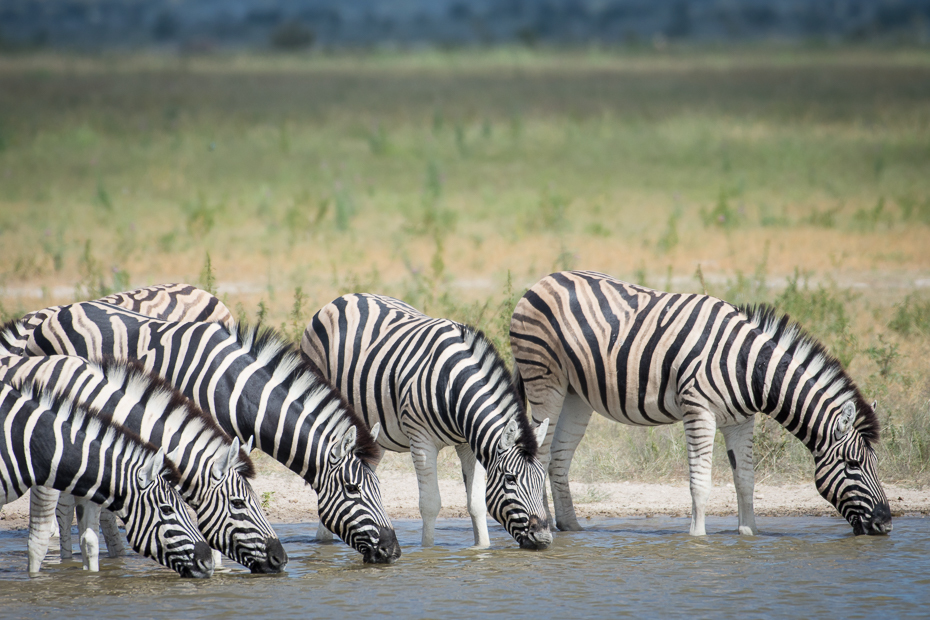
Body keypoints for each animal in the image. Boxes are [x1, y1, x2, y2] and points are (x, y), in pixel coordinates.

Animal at [302, 294, 552, 548]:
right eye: (511, 479)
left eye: (542, 478)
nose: (543, 538)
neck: (453, 387)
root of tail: (346, 297)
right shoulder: (422, 441)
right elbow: (431, 504)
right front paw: (428, 550)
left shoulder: (468, 444)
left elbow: (476, 503)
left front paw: (481, 547)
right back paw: (323, 540)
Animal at [512, 272, 888, 536]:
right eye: (853, 464)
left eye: (874, 464)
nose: (885, 524)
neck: (749, 368)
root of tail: (544, 279)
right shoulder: (698, 410)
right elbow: (700, 480)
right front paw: (697, 538)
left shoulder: (741, 420)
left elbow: (745, 479)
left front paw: (749, 533)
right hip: (545, 381)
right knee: (540, 455)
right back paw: (546, 522)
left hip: (577, 394)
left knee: (559, 457)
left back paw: (571, 527)